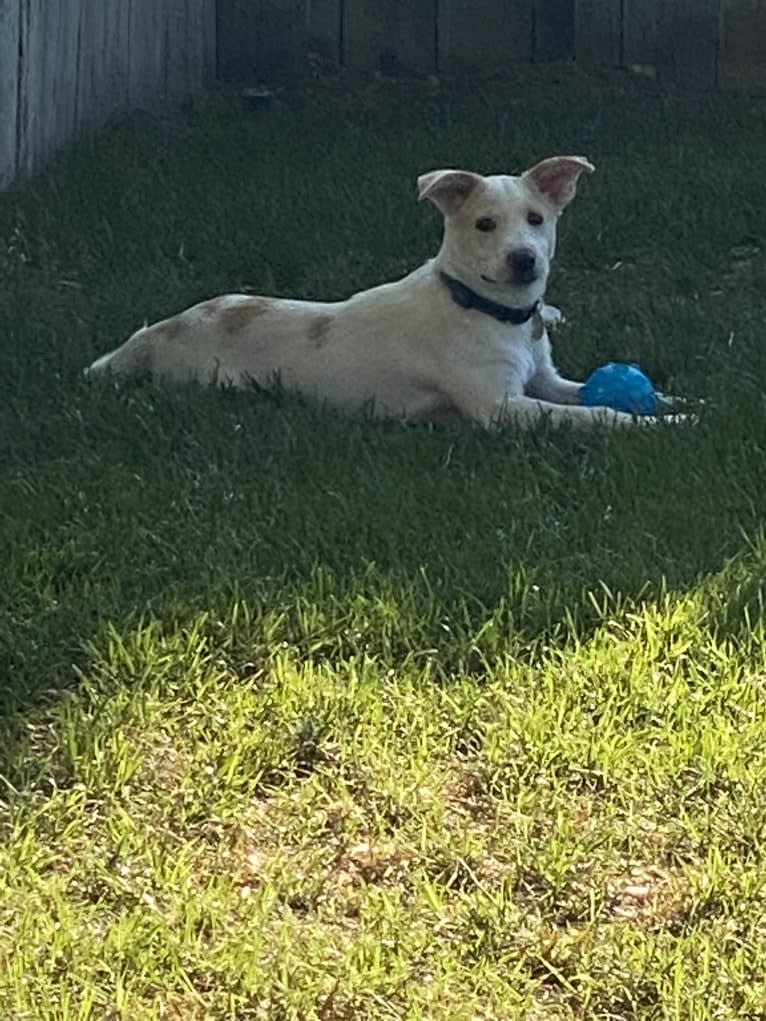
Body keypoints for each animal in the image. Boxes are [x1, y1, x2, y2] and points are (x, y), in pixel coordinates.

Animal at [86, 157, 686, 428]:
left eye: (537, 219)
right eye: (484, 225)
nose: (524, 259)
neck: (490, 311)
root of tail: (156, 334)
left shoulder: (545, 381)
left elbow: (591, 393)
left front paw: (678, 404)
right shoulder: (502, 407)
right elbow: (598, 414)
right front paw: (656, 425)